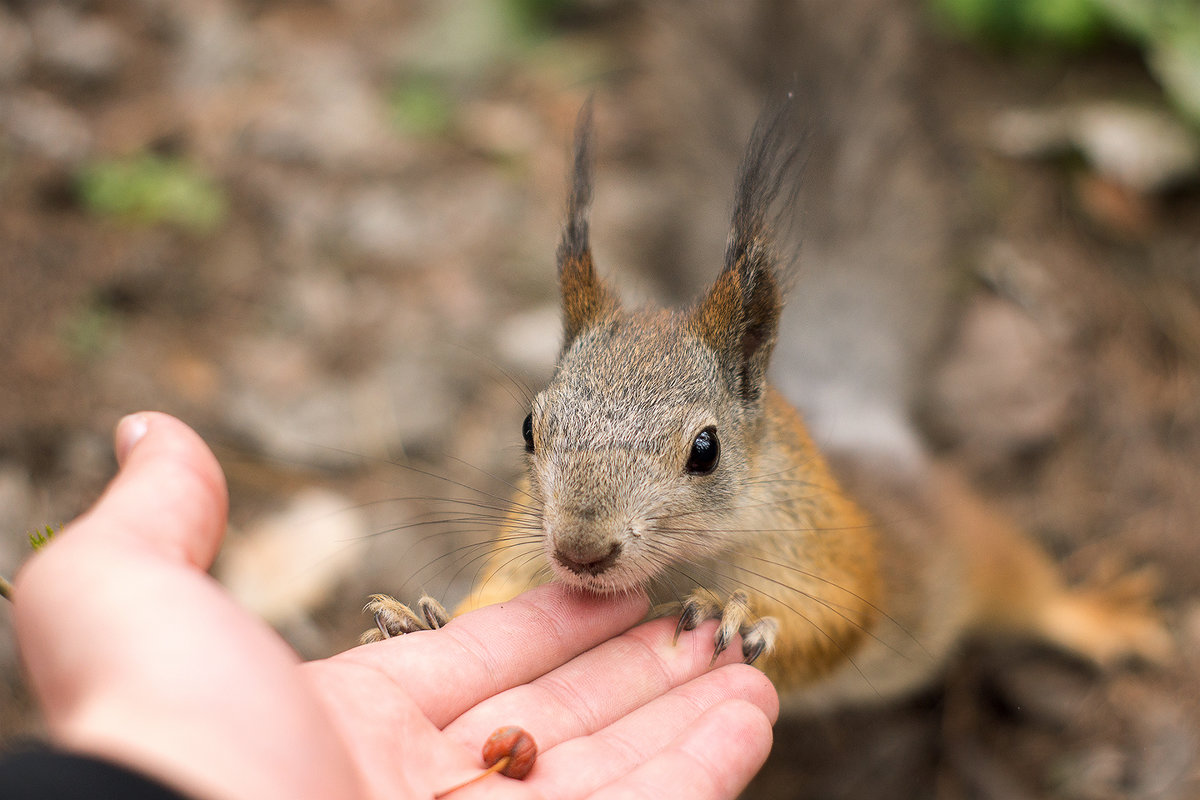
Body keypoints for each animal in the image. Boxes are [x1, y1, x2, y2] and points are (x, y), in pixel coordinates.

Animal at [360, 98, 1166, 705]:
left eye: (706, 449)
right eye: (530, 426)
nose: (581, 553)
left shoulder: (825, 552)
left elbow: (835, 622)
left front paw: (727, 608)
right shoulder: (525, 548)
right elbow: (492, 597)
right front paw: (418, 623)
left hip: (970, 541)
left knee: (1027, 587)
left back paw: (1094, 614)